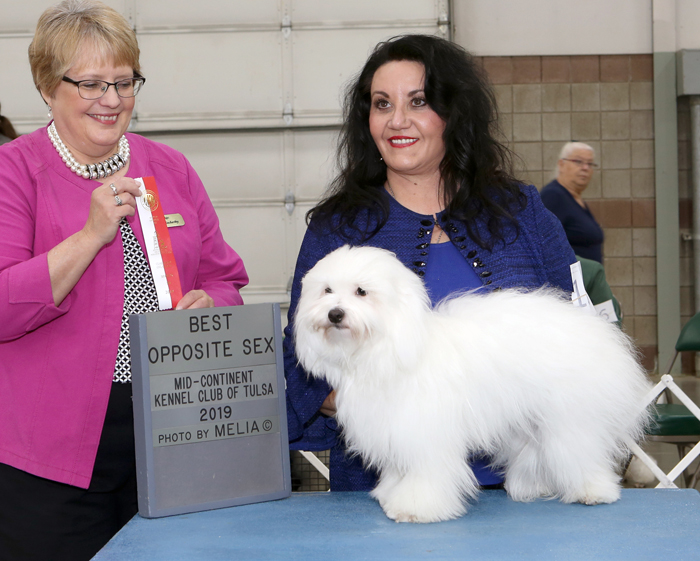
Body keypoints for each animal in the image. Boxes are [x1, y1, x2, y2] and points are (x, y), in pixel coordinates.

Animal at [292, 243, 652, 524]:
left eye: (361, 291)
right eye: (327, 290)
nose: (335, 314)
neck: (386, 349)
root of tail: (594, 330)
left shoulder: (425, 433)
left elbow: (426, 473)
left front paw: (416, 507)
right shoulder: (395, 429)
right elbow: (399, 471)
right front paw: (391, 494)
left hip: (568, 418)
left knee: (580, 451)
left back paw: (594, 491)